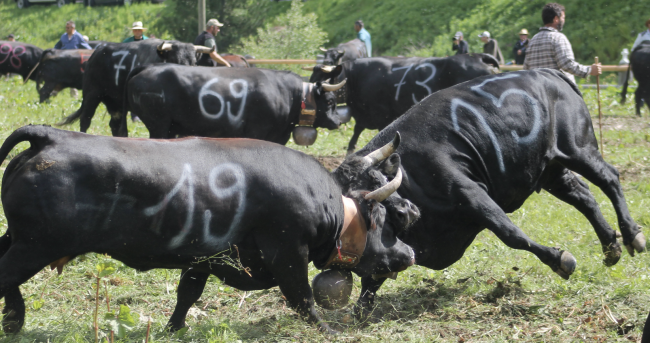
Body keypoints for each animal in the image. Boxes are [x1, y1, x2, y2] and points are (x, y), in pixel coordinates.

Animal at [0, 125, 418, 334]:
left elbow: (187, 294)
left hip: (18, 238)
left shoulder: (201, 257)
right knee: (6, 275)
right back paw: (15, 318)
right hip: (35, 244)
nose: (408, 253)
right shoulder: (287, 252)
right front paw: (326, 331)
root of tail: (53, 136)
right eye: (383, 219)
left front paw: (173, 329)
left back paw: (14, 318)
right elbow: (302, 298)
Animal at [56, 40, 211, 137]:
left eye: (194, 62)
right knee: (85, 120)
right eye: (175, 60)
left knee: (115, 126)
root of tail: (97, 52)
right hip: (91, 95)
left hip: (116, 105)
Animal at [306, 53, 498, 153]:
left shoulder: (382, 116)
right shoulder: (364, 116)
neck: (356, 77)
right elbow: (354, 136)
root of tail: (476, 56)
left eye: (321, 78)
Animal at [332, 68, 644, 318]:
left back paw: (631, 235)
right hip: (552, 169)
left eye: (376, 178)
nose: (404, 211)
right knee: (584, 196)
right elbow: (373, 278)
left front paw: (559, 259)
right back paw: (611, 246)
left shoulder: (472, 195)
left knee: (609, 179)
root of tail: (549, 72)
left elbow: (511, 234)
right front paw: (359, 310)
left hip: (578, 148)